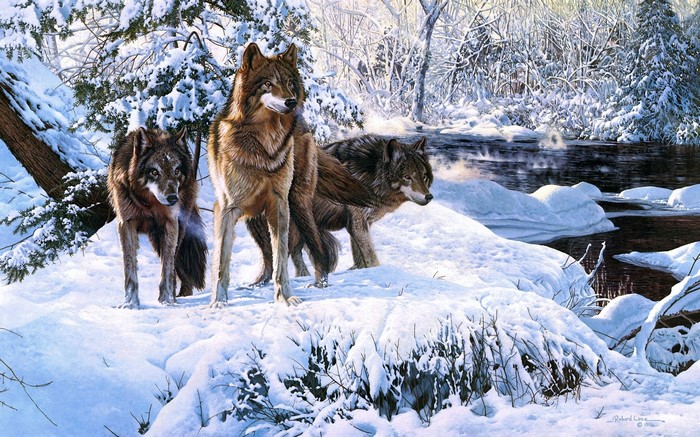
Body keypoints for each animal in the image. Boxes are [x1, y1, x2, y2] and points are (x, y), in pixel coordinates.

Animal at [107, 127, 207, 308]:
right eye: (154, 172)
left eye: (176, 171)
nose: (173, 198)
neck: (149, 204)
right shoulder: (126, 224)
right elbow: (129, 267)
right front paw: (130, 303)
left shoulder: (170, 223)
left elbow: (167, 267)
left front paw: (166, 300)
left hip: (176, 230)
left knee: (174, 262)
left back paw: (176, 296)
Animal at [207, 43, 371, 306]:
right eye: (267, 84)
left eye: (288, 82)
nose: (291, 102)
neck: (263, 147)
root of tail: (303, 125)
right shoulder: (227, 208)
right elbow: (222, 261)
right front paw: (218, 302)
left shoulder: (279, 204)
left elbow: (281, 258)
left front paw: (285, 298)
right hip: (255, 221)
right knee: (267, 257)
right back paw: (257, 284)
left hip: (297, 204)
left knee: (316, 247)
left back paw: (320, 283)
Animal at [248, 135, 433, 283]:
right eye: (407, 177)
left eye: (424, 176)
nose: (429, 197)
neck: (371, 174)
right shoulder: (357, 223)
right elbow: (371, 257)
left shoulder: (361, 224)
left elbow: (359, 258)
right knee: (276, 263)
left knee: (294, 257)